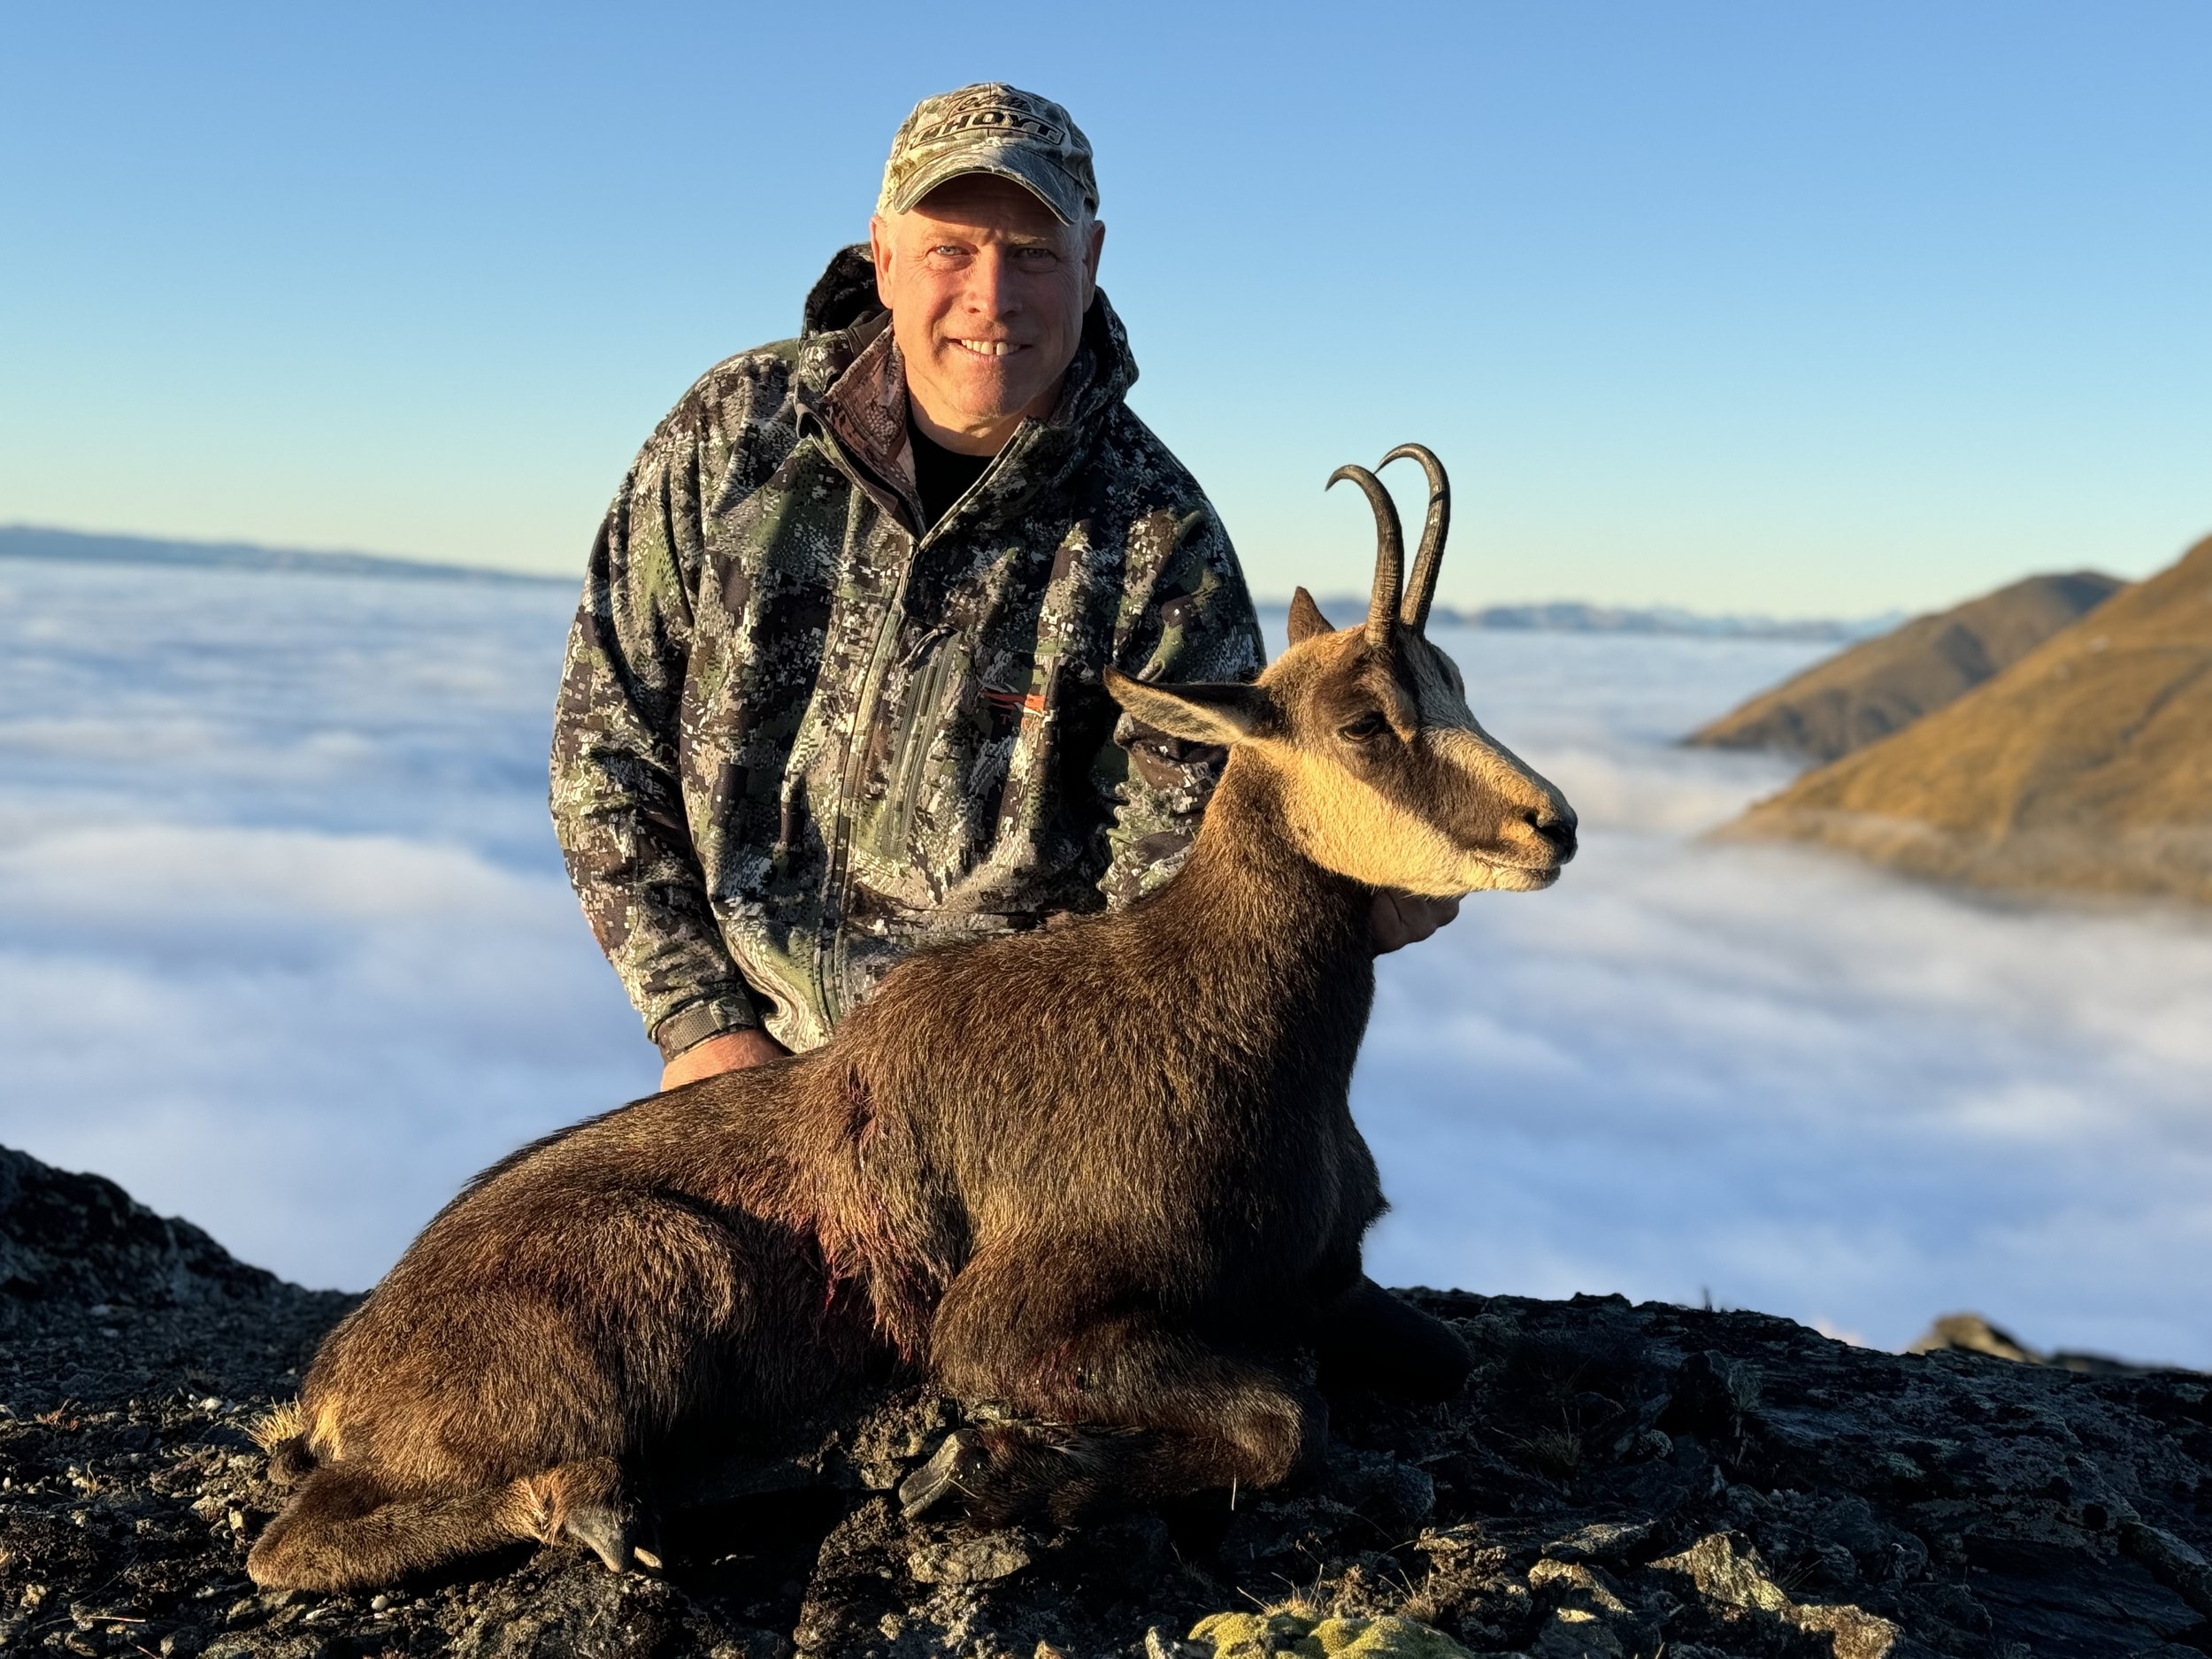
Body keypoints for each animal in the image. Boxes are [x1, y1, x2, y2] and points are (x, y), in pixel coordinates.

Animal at [246, 445, 1578, 1592]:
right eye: (1363, 719)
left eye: (1456, 682)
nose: (1552, 826)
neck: (1227, 1023)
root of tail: (336, 1377)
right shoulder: (1007, 1321)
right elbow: (1280, 1422)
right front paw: (983, 1476)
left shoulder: (1327, 1282)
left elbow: (1438, 1359)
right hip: (665, 1278)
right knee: (290, 1545)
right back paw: (593, 1504)